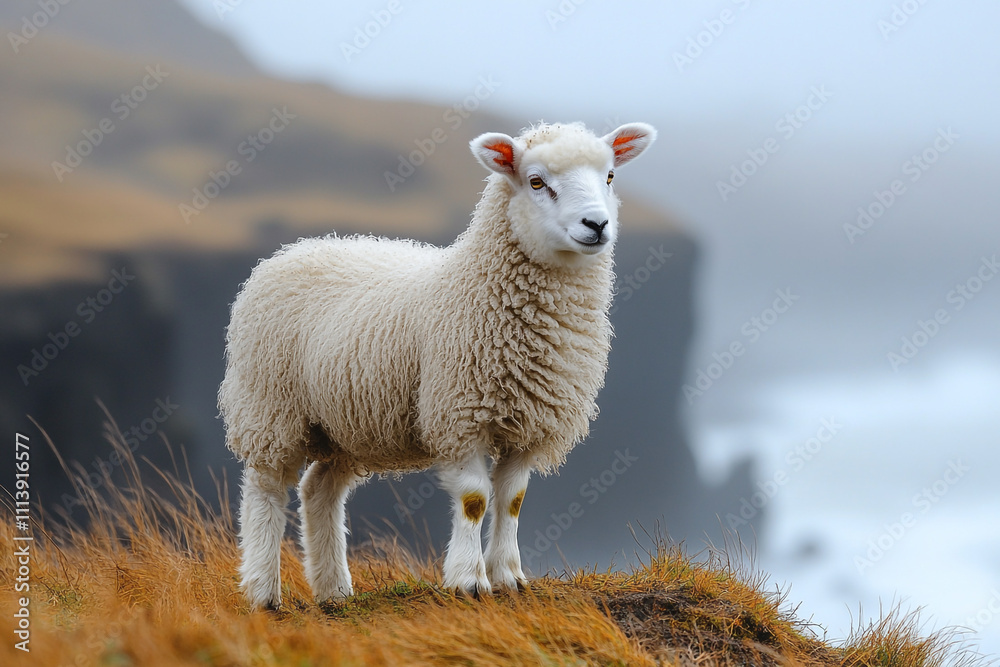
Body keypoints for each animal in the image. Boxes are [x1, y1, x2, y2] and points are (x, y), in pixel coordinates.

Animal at [219, 121, 657, 609]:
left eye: (610, 176)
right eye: (537, 181)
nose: (596, 224)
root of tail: (289, 251)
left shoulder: (529, 422)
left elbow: (512, 499)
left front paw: (509, 577)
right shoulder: (459, 413)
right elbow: (475, 499)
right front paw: (468, 580)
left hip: (344, 421)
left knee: (319, 489)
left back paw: (335, 590)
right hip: (270, 405)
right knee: (266, 489)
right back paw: (262, 590)